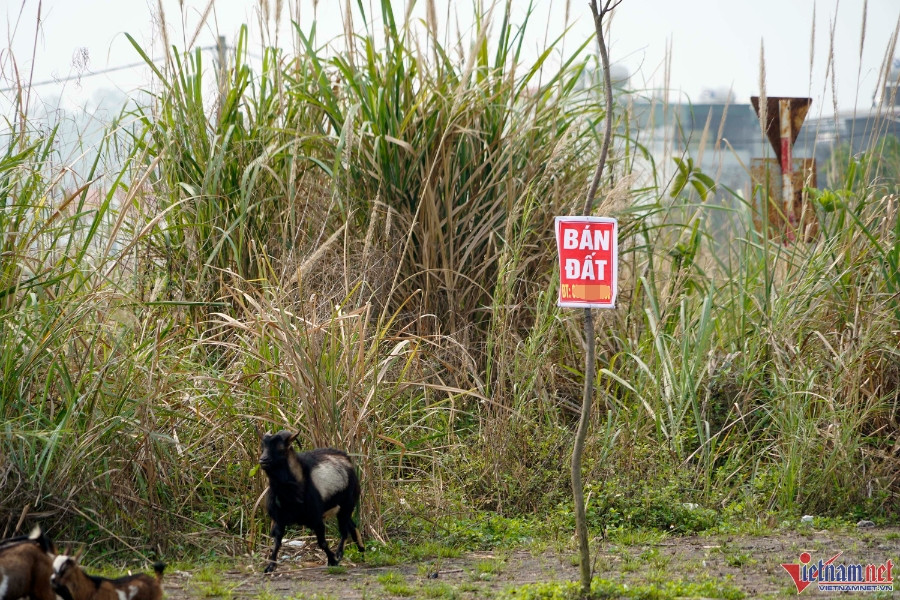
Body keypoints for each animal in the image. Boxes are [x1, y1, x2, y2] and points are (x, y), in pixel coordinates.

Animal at [255, 426, 364, 572]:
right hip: (341, 509)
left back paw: (340, 554)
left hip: (347, 505)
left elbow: (322, 542)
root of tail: (346, 459)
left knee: (344, 530)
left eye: (281, 449)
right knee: (351, 526)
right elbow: (277, 542)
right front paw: (270, 566)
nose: (263, 460)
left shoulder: (316, 518)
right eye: (263, 448)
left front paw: (332, 561)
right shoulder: (279, 519)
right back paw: (361, 550)